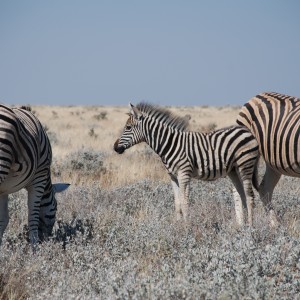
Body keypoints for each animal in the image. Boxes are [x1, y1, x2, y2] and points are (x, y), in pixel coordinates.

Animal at [0, 105, 69, 246]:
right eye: (56, 207)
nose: (46, 238)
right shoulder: (39, 178)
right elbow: (33, 217)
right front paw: (35, 247)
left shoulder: (4, 190)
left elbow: (3, 219)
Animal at [113, 103, 258, 225]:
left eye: (128, 127)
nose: (115, 148)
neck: (169, 144)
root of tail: (246, 130)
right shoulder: (172, 176)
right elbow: (177, 204)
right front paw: (178, 227)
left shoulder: (183, 173)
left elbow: (184, 203)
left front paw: (186, 228)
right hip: (233, 169)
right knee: (241, 195)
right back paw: (241, 226)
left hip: (245, 164)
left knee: (250, 196)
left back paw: (250, 228)